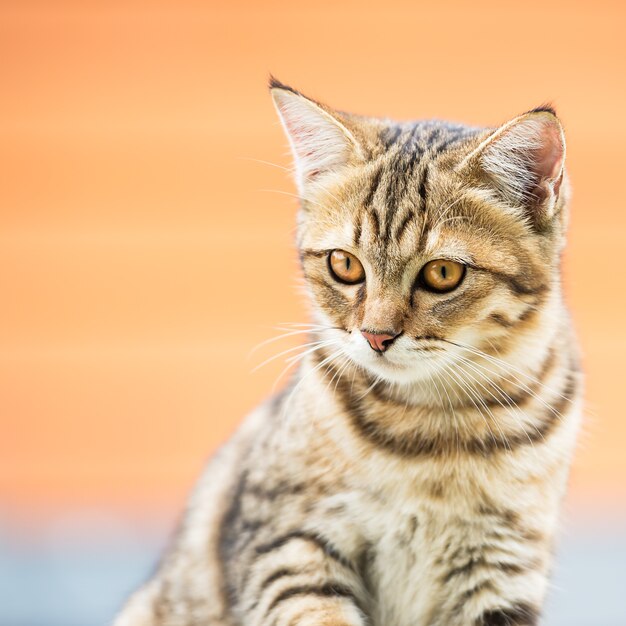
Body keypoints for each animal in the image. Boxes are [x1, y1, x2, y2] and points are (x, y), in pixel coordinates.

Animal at [112, 78, 580, 624]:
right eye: (345, 264)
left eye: (443, 273)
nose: (376, 335)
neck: (432, 432)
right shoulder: (286, 543)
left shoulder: (502, 567)